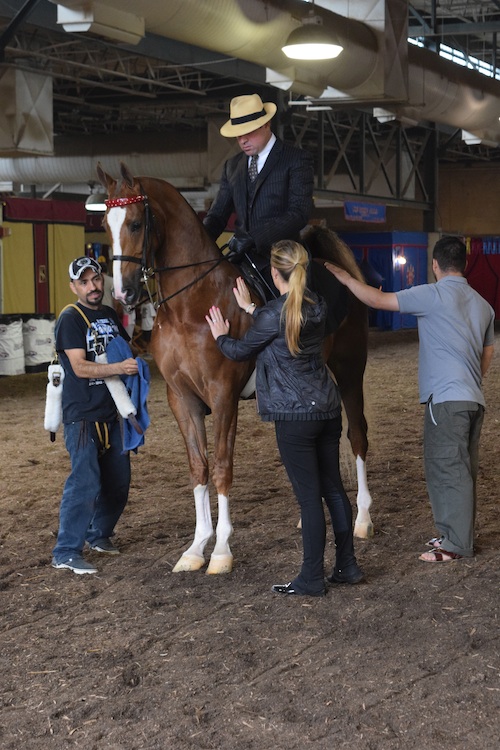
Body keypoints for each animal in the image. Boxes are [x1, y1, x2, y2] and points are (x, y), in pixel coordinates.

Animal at [98, 163, 372, 576]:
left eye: (134, 223)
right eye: (104, 224)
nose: (123, 294)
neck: (190, 306)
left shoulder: (223, 394)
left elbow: (222, 466)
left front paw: (222, 550)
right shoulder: (182, 398)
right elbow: (199, 468)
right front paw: (196, 548)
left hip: (350, 370)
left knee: (357, 436)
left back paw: (363, 520)